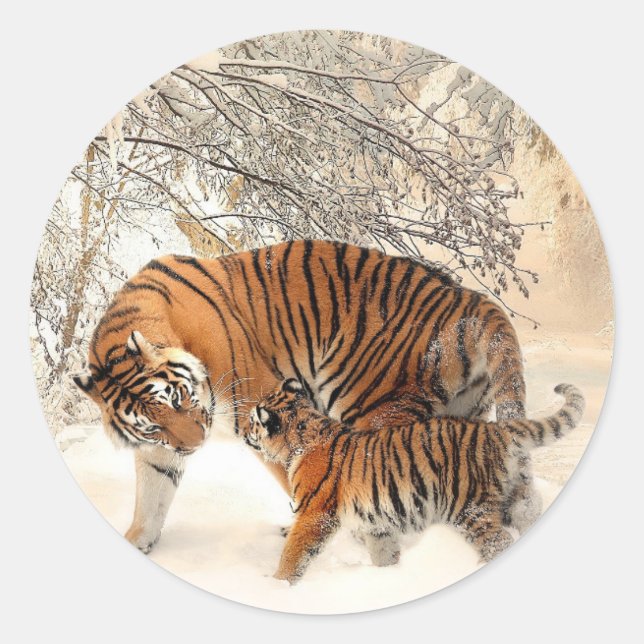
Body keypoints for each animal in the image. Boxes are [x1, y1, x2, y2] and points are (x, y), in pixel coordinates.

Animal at [72, 239, 527, 553]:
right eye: (152, 425)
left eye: (179, 398)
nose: (197, 445)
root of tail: (469, 299)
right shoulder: (160, 450)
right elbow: (151, 499)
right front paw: (138, 543)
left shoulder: (259, 405)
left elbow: (298, 480)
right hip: (460, 416)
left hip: (371, 406)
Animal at [244, 379, 585, 584]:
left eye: (252, 422)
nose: (245, 432)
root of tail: (495, 429)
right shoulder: (376, 522)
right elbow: (383, 551)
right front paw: (388, 577)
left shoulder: (314, 515)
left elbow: (294, 553)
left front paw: (277, 586)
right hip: (517, 498)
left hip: (469, 509)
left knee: (498, 541)